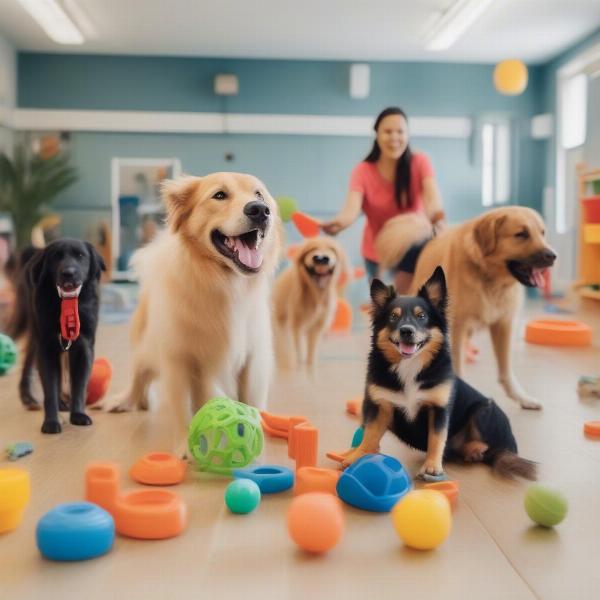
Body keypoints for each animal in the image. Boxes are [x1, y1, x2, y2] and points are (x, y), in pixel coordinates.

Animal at [10, 238, 105, 432]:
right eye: (56, 257)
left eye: (80, 255)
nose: (68, 273)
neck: (66, 304)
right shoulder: (46, 348)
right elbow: (50, 388)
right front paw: (51, 422)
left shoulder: (84, 348)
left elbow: (79, 386)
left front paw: (78, 415)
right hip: (33, 329)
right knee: (28, 362)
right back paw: (27, 397)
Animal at [101, 171, 282, 448]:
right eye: (219, 195)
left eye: (259, 195)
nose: (260, 210)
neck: (224, 283)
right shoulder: (179, 357)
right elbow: (181, 407)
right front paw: (185, 446)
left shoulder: (252, 356)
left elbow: (248, 398)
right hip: (146, 344)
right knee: (140, 374)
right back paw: (126, 400)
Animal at [272, 238, 346, 370]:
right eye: (312, 249)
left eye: (331, 249)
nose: (321, 258)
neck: (316, 295)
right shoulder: (296, 325)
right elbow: (297, 348)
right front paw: (299, 364)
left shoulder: (316, 327)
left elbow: (311, 350)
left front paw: (310, 364)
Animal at [340, 264, 536, 480]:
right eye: (393, 316)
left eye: (422, 316)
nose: (406, 331)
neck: (410, 366)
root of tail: (510, 446)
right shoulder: (380, 407)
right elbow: (369, 434)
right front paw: (357, 455)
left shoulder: (438, 408)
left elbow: (436, 438)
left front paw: (432, 467)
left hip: (484, 411)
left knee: (490, 448)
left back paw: (476, 449)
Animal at [378, 205, 556, 408]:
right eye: (521, 234)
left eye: (542, 233)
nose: (553, 256)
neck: (489, 278)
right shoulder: (457, 327)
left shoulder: (503, 325)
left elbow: (506, 371)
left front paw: (522, 397)